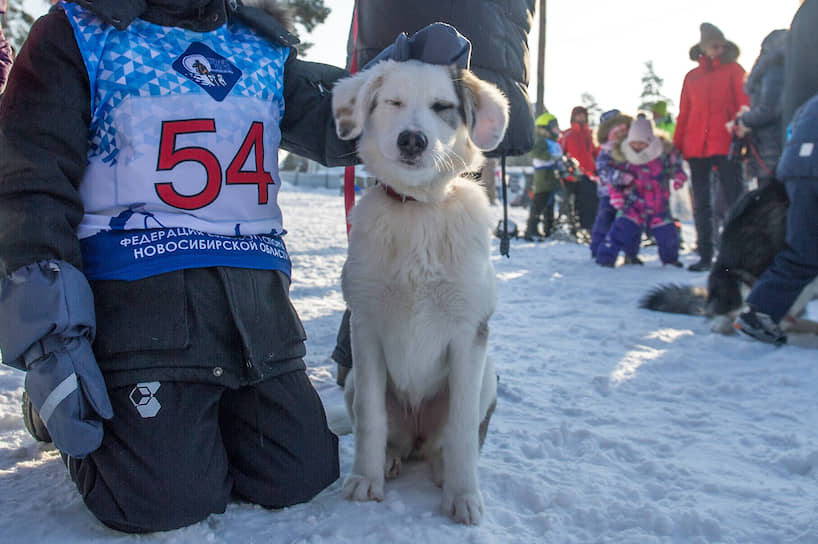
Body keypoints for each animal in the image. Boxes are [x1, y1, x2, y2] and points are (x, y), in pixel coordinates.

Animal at [330, 58, 506, 524]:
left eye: (442, 107)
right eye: (393, 102)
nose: (412, 139)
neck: (419, 210)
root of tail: (417, 437)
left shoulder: (468, 334)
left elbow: (462, 427)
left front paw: (464, 496)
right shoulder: (366, 328)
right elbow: (371, 417)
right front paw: (364, 478)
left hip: (487, 376)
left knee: (449, 440)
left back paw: (445, 469)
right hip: (353, 380)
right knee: (391, 435)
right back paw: (390, 459)